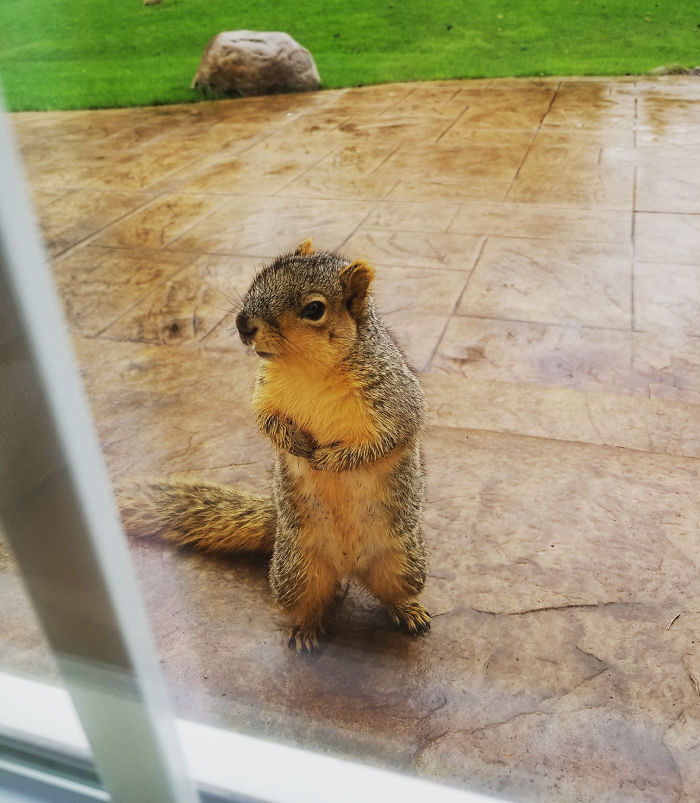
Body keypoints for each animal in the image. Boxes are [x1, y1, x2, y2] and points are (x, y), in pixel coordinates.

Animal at [119, 240, 430, 651]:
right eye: (258, 279)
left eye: (314, 309)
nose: (242, 324)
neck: (308, 368)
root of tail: (348, 565)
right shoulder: (265, 394)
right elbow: (265, 422)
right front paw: (294, 443)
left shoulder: (393, 399)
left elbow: (387, 439)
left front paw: (333, 458)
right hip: (296, 572)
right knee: (309, 603)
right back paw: (305, 630)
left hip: (403, 560)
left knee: (394, 592)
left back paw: (409, 611)